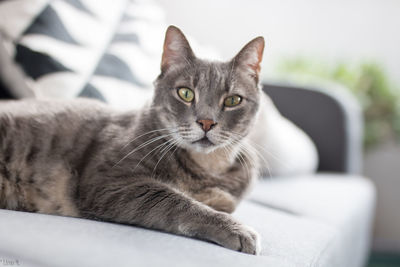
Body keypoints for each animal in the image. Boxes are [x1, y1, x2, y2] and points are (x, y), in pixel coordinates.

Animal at [0, 26, 264, 256]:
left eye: (232, 100)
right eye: (186, 93)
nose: (207, 122)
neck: (207, 168)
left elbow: (220, 200)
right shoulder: (108, 180)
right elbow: (176, 200)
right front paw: (237, 228)